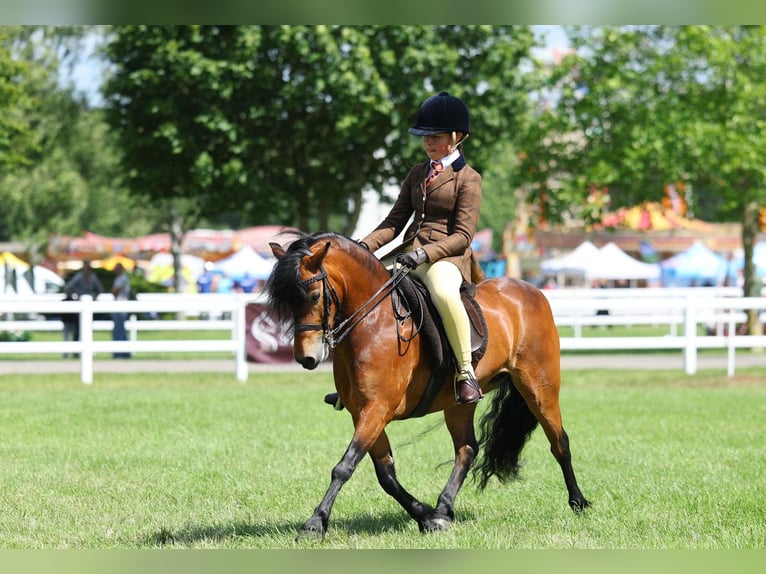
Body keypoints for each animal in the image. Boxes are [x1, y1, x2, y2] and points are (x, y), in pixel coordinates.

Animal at [264, 231, 590, 541]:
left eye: (313, 295)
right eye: (287, 302)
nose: (306, 358)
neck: (373, 322)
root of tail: (531, 290)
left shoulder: (377, 408)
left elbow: (344, 467)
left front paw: (314, 524)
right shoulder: (362, 412)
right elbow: (386, 475)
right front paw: (427, 517)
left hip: (539, 387)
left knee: (559, 442)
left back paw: (579, 502)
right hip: (460, 402)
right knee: (467, 448)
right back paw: (444, 508)